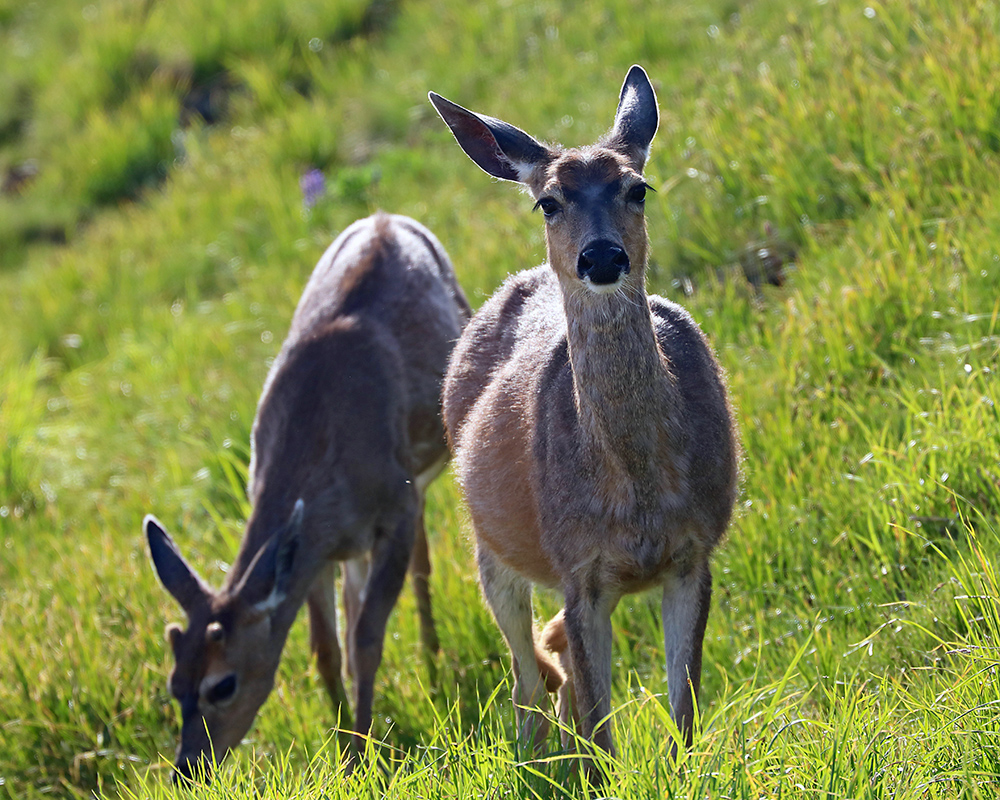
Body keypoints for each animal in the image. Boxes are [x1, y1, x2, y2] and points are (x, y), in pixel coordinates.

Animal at [143, 212, 470, 780]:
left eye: (222, 685)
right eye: (173, 683)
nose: (187, 769)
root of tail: (385, 216)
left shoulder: (397, 506)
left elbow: (366, 638)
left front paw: (362, 756)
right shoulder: (309, 549)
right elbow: (325, 650)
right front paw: (344, 750)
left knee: (421, 570)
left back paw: (433, 667)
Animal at [426, 65, 740, 760]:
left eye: (637, 187)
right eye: (548, 201)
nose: (600, 257)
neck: (636, 493)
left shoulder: (694, 552)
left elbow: (683, 713)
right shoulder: (577, 565)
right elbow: (602, 729)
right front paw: (598, 770)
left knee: (553, 664)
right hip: (491, 548)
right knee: (526, 677)